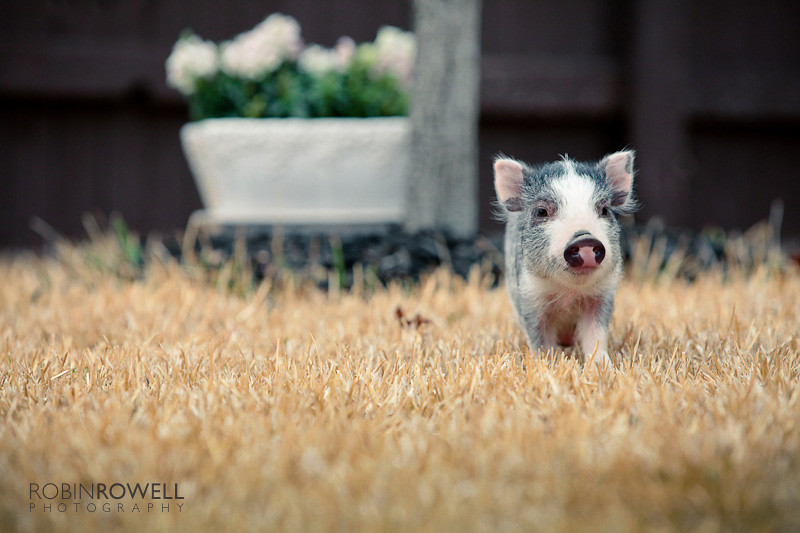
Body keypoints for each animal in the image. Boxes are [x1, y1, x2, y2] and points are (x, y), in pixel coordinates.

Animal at [493, 150, 637, 366]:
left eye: (604, 210)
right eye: (541, 211)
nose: (585, 238)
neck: (569, 293)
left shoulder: (602, 294)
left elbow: (596, 333)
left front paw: (602, 367)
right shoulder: (530, 295)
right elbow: (539, 338)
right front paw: (547, 364)